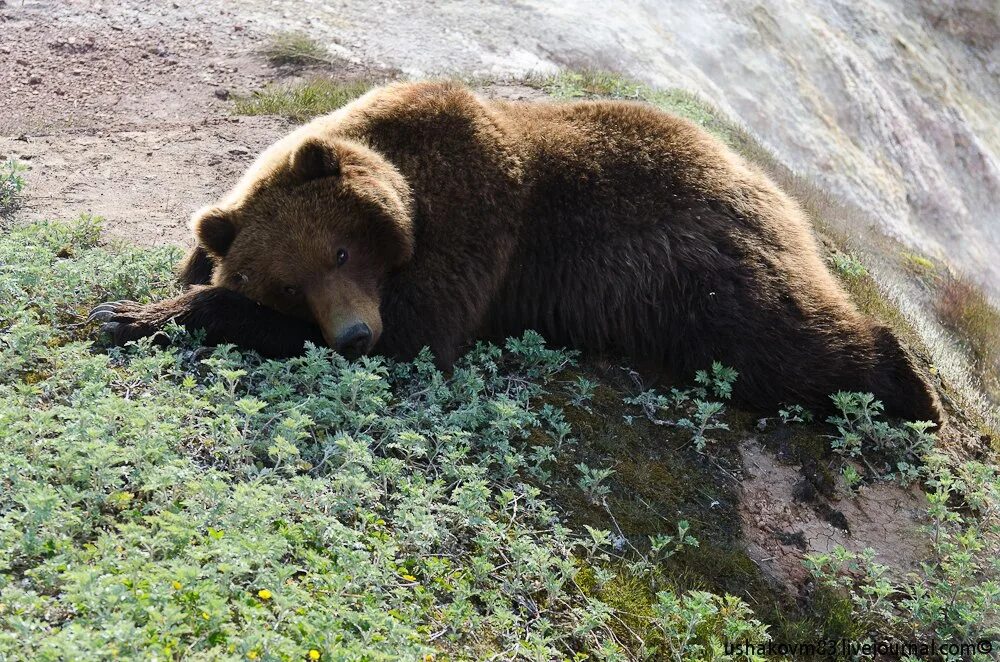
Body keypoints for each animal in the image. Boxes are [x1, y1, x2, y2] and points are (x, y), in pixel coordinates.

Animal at [90, 76, 940, 420]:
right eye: (288, 283)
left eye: (339, 254)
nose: (354, 333)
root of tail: (762, 173)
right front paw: (143, 304)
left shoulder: (477, 219)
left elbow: (422, 336)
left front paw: (133, 314)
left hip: (694, 257)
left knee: (775, 339)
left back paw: (909, 390)